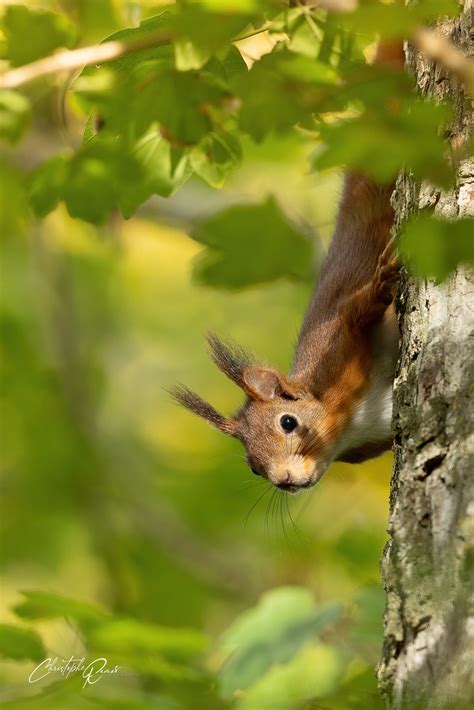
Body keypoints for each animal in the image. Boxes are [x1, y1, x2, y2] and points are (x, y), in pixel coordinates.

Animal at [174, 43, 404, 496]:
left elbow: (358, 307)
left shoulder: (338, 340)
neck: (351, 420)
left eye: (288, 422)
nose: (283, 481)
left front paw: (385, 277)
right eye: (252, 466)